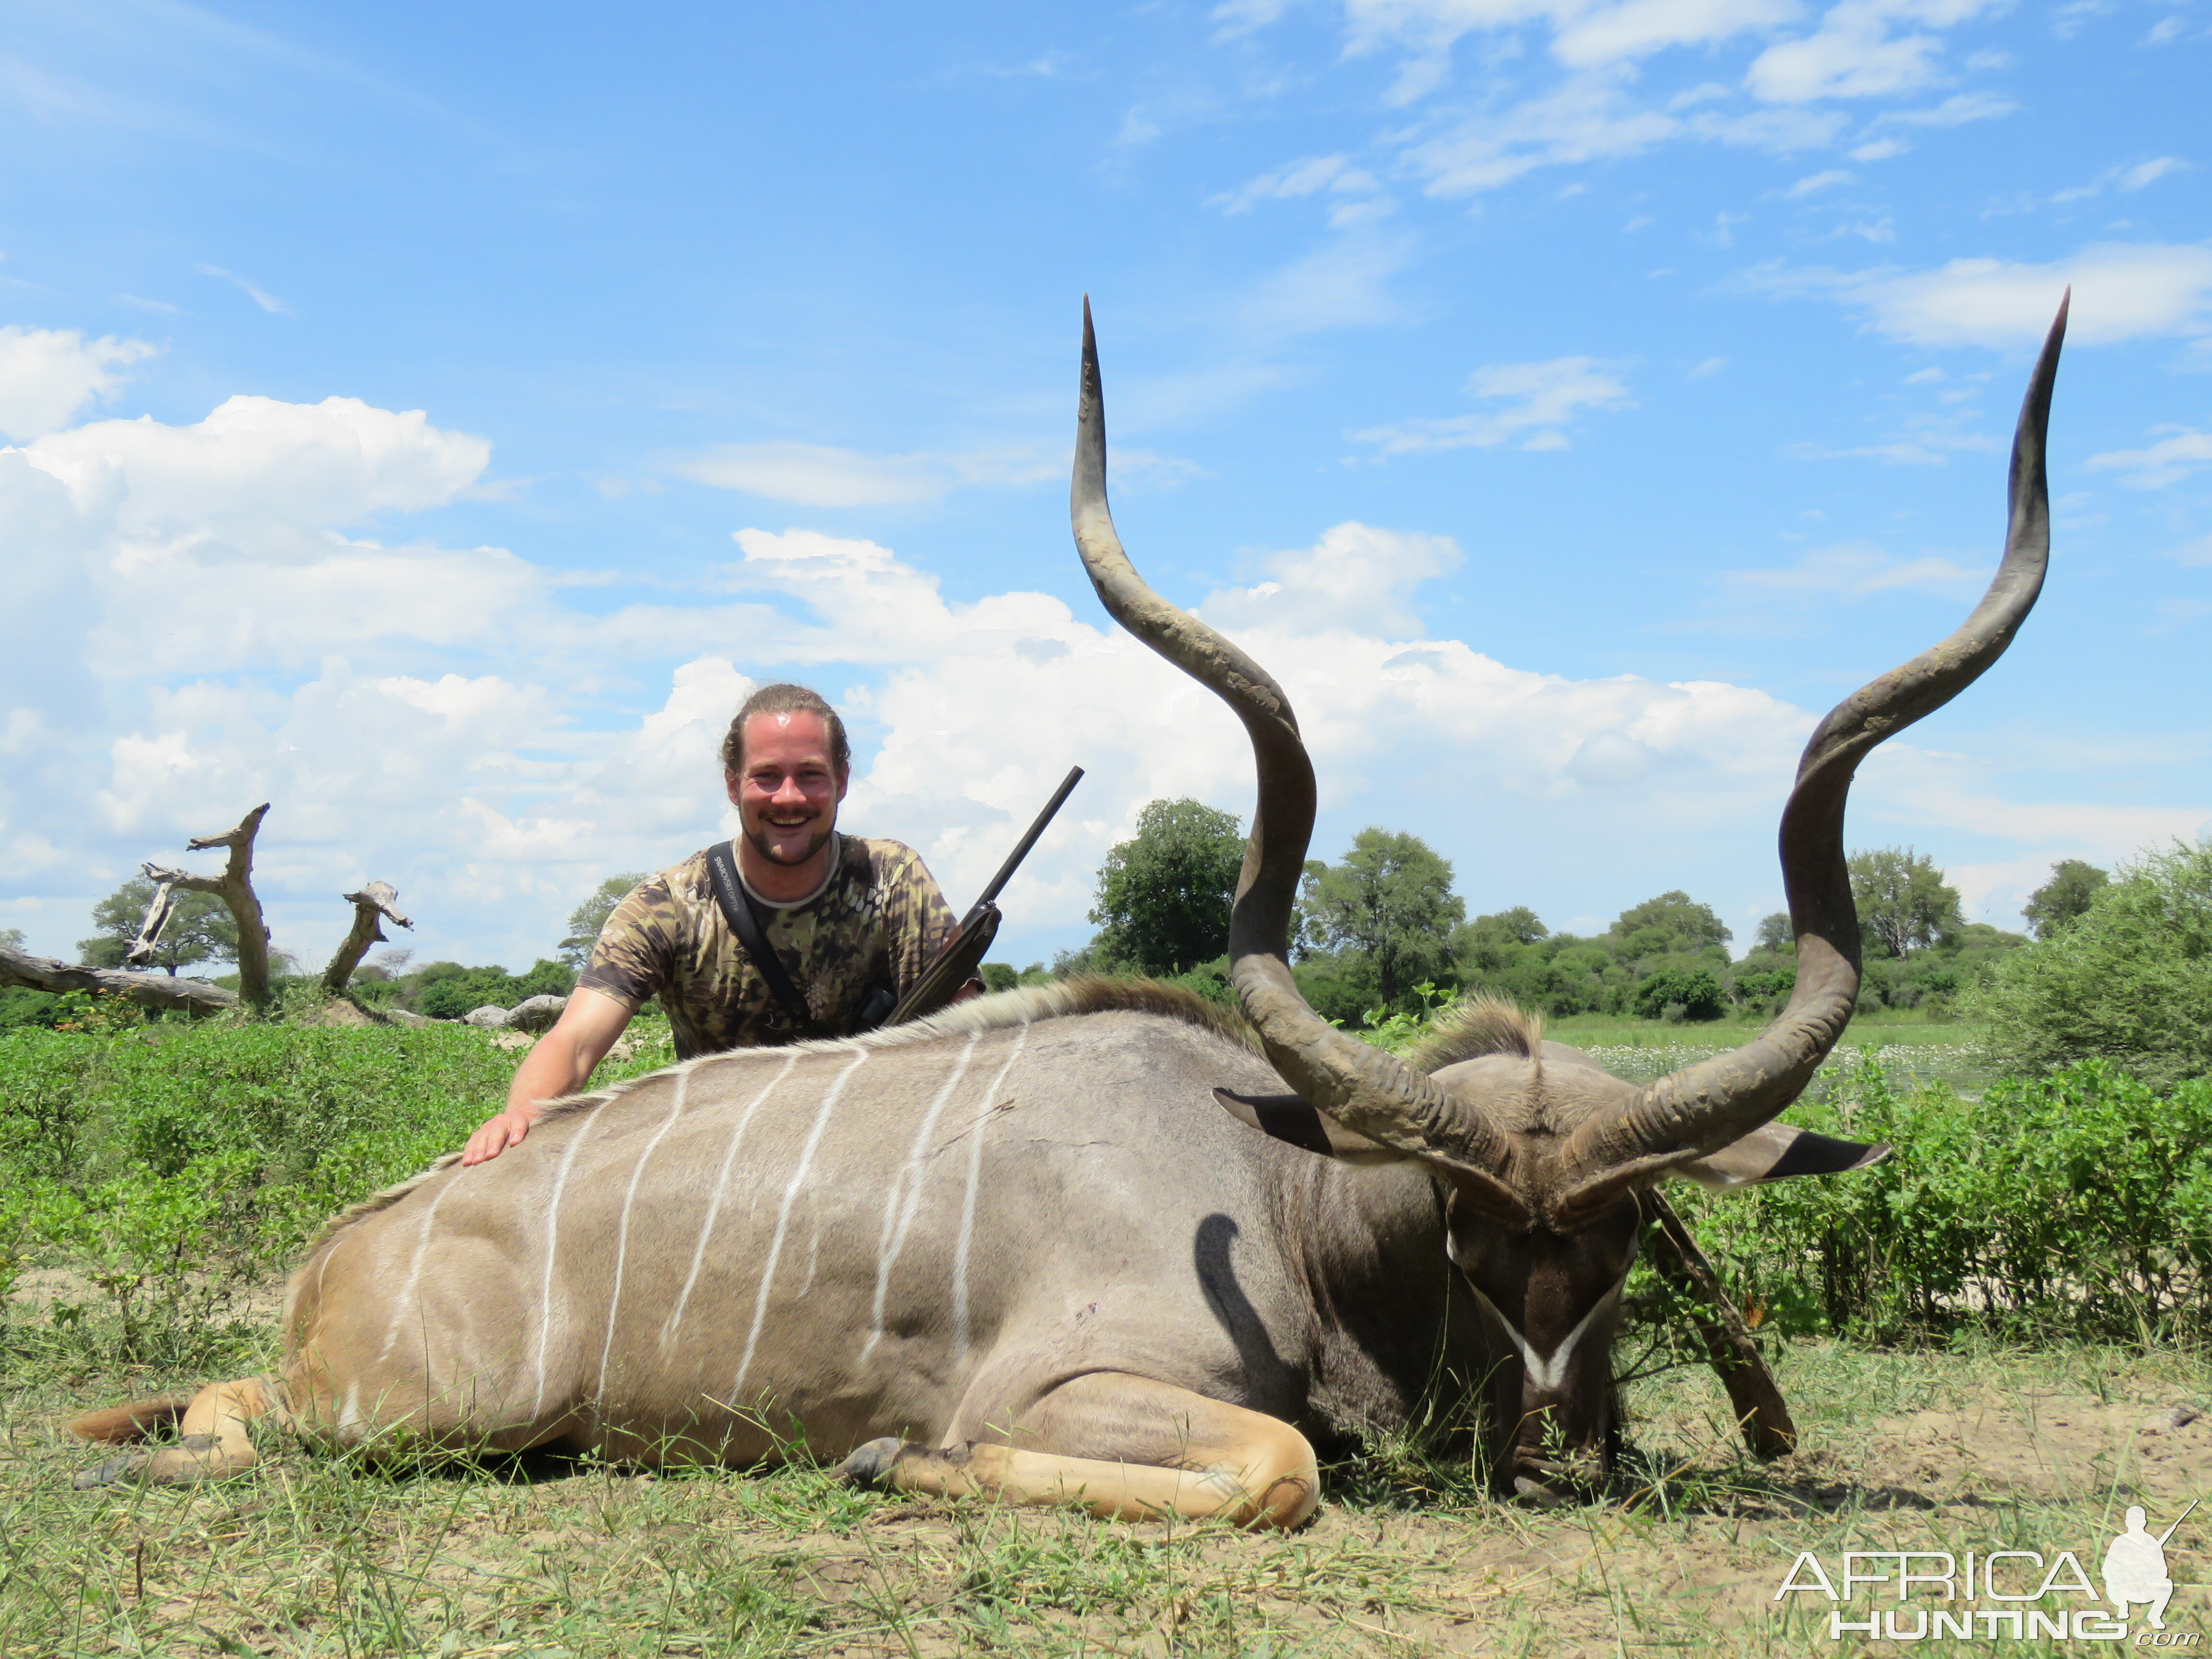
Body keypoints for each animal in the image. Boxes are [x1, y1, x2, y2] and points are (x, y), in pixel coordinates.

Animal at [73, 299, 2070, 1530]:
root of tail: (340, 1256)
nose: (1554, 1451)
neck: (1274, 1190)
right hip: (414, 1414)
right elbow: (1274, 1465)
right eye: (1459, 1230)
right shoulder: (1077, 1389)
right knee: (228, 1418)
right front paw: (895, 1464)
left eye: (1625, 1236)